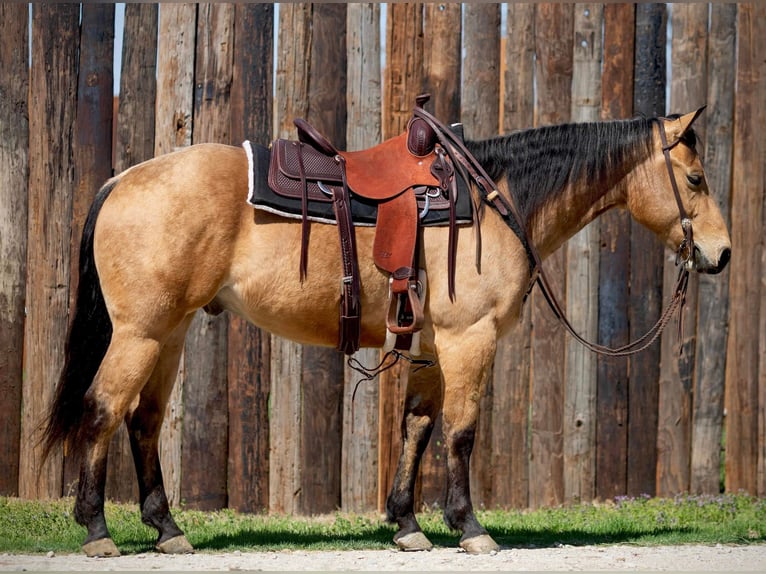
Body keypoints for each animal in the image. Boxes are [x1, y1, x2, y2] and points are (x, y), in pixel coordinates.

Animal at [40, 102, 732, 560]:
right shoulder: (469, 339)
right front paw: (470, 527)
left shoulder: (432, 350)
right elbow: (460, 434)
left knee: (143, 421)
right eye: (695, 179)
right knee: (102, 411)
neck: (495, 204)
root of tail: (120, 181)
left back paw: (168, 530)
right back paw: (97, 531)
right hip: (141, 333)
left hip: (170, 333)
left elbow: (417, 429)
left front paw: (407, 525)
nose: (721, 254)